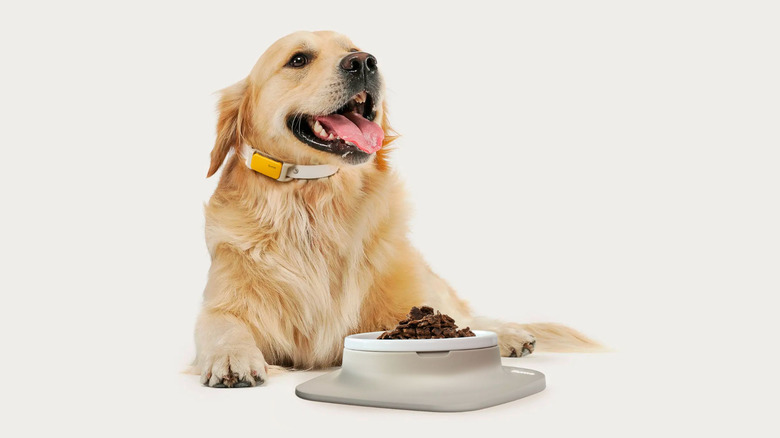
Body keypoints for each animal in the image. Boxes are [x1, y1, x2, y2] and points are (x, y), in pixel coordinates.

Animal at [195, 30, 604, 386]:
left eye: (353, 49)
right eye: (298, 59)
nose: (363, 62)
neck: (315, 201)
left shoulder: (405, 303)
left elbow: (445, 319)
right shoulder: (223, 302)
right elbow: (222, 326)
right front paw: (231, 357)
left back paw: (510, 334)